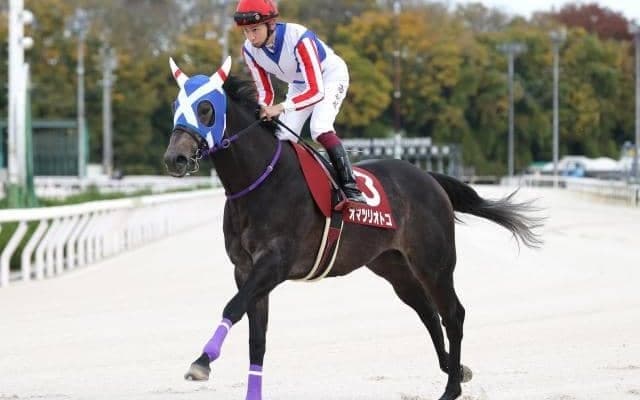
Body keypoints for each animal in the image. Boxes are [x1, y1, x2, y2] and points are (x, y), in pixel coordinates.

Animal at [163, 57, 542, 400]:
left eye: (206, 109)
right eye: (176, 107)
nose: (174, 159)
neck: (262, 181)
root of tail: (428, 176)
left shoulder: (275, 264)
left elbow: (232, 307)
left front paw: (201, 362)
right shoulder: (245, 269)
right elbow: (257, 337)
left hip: (434, 262)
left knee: (453, 314)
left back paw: (451, 389)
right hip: (393, 266)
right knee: (428, 313)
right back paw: (456, 369)